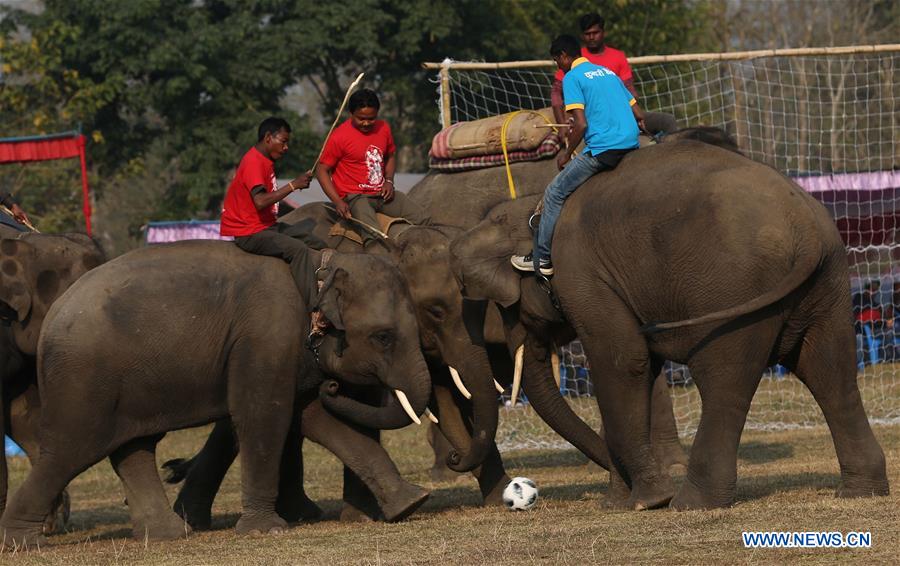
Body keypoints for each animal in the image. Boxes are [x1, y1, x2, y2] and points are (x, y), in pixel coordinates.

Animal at [454, 135, 888, 512]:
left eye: (506, 308)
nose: (457, 457)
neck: (534, 207)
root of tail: (805, 227)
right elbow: (642, 370)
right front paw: (619, 503)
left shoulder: (581, 275)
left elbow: (623, 362)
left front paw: (648, 500)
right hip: (828, 284)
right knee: (831, 373)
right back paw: (860, 491)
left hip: (735, 292)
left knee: (723, 381)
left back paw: (691, 502)